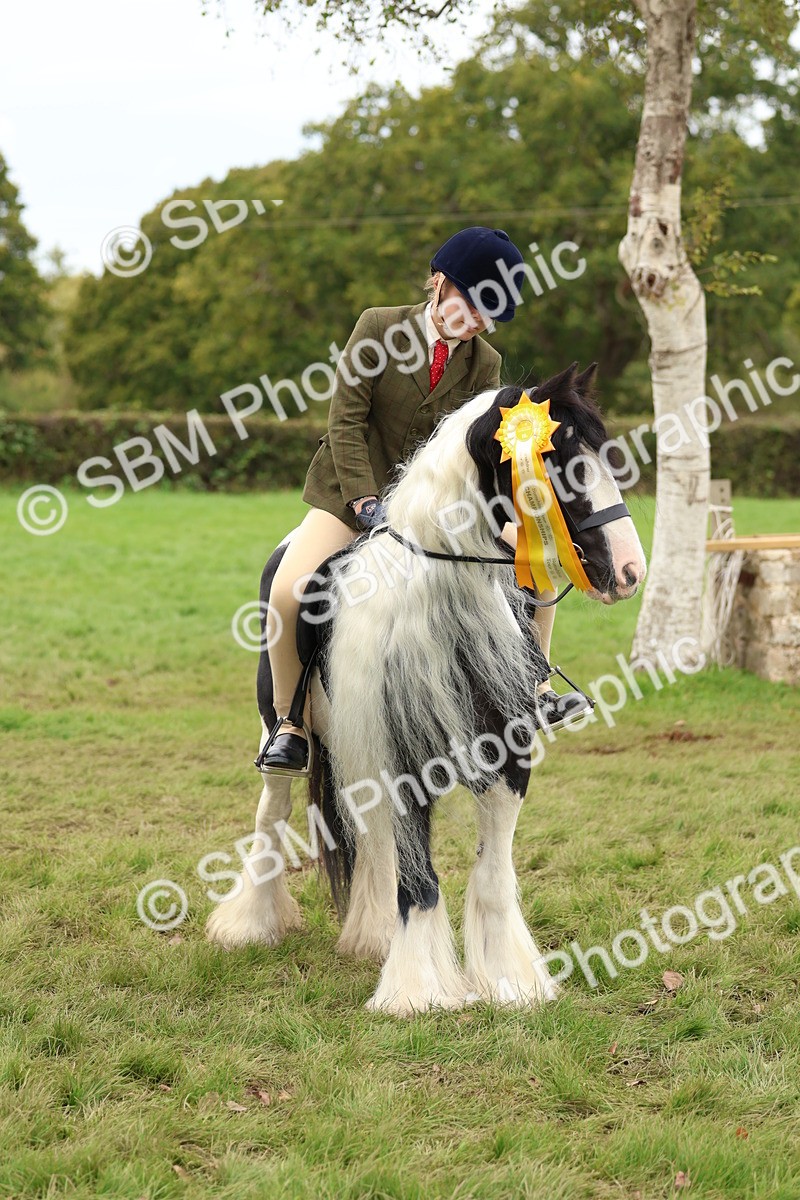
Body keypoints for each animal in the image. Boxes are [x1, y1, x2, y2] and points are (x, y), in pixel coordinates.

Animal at [206, 361, 647, 1016]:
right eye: (560, 461)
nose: (628, 571)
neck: (439, 613)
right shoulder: (402, 763)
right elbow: (421, 883)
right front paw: (417, 993)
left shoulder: (507, 762)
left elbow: (493, 878)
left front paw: (510, 982)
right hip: (286, 726)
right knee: (275, 809)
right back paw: (251, 923)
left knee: (371, 839)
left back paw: (370, 935)